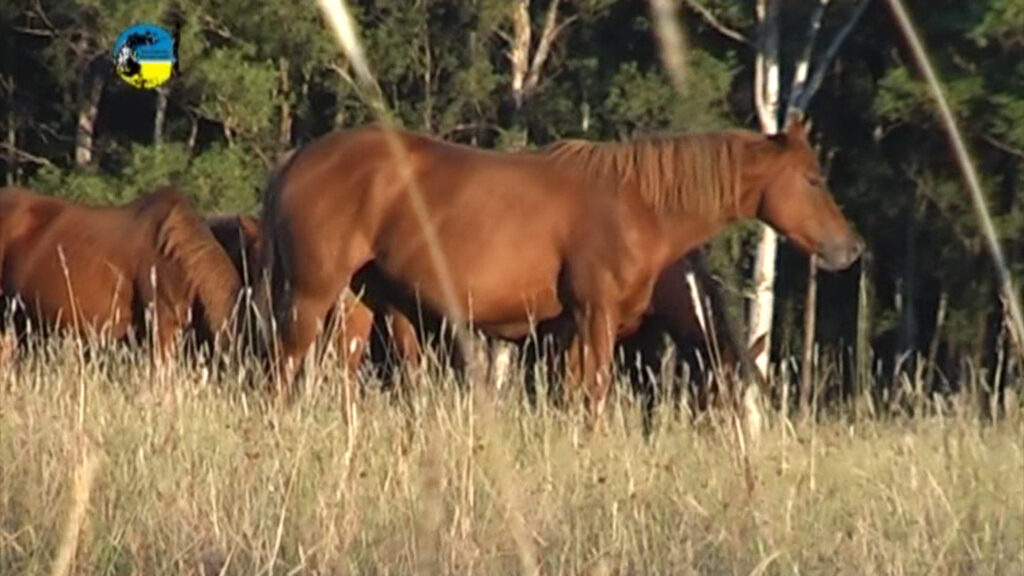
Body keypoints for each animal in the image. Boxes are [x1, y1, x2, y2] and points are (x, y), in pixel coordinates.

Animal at [260, 120, 864, 418]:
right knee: (283, 369)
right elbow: (594, 395)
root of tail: (296, 160)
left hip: (359, 298)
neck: (638, 203)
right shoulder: (596, 317)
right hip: (311, 293)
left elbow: (568, 396)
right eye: (812, 179)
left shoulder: (566, 329)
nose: (851, 248)